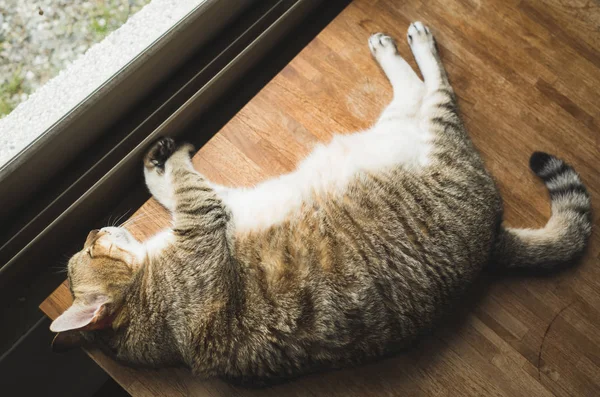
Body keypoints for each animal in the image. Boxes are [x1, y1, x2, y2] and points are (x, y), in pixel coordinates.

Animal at [48, 21, 592, 384]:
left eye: (89, 247)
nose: (95, 230)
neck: (150, 300)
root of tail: (494, 234)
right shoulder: (206, 211)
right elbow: (183, 181)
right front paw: (170, 155)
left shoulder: (213, 206)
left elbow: (164, 184)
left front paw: (153, 159)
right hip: (429, 136)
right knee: (434, 88)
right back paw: (410, 43)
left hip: (401, 128)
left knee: (418, 89)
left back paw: (394, 46)